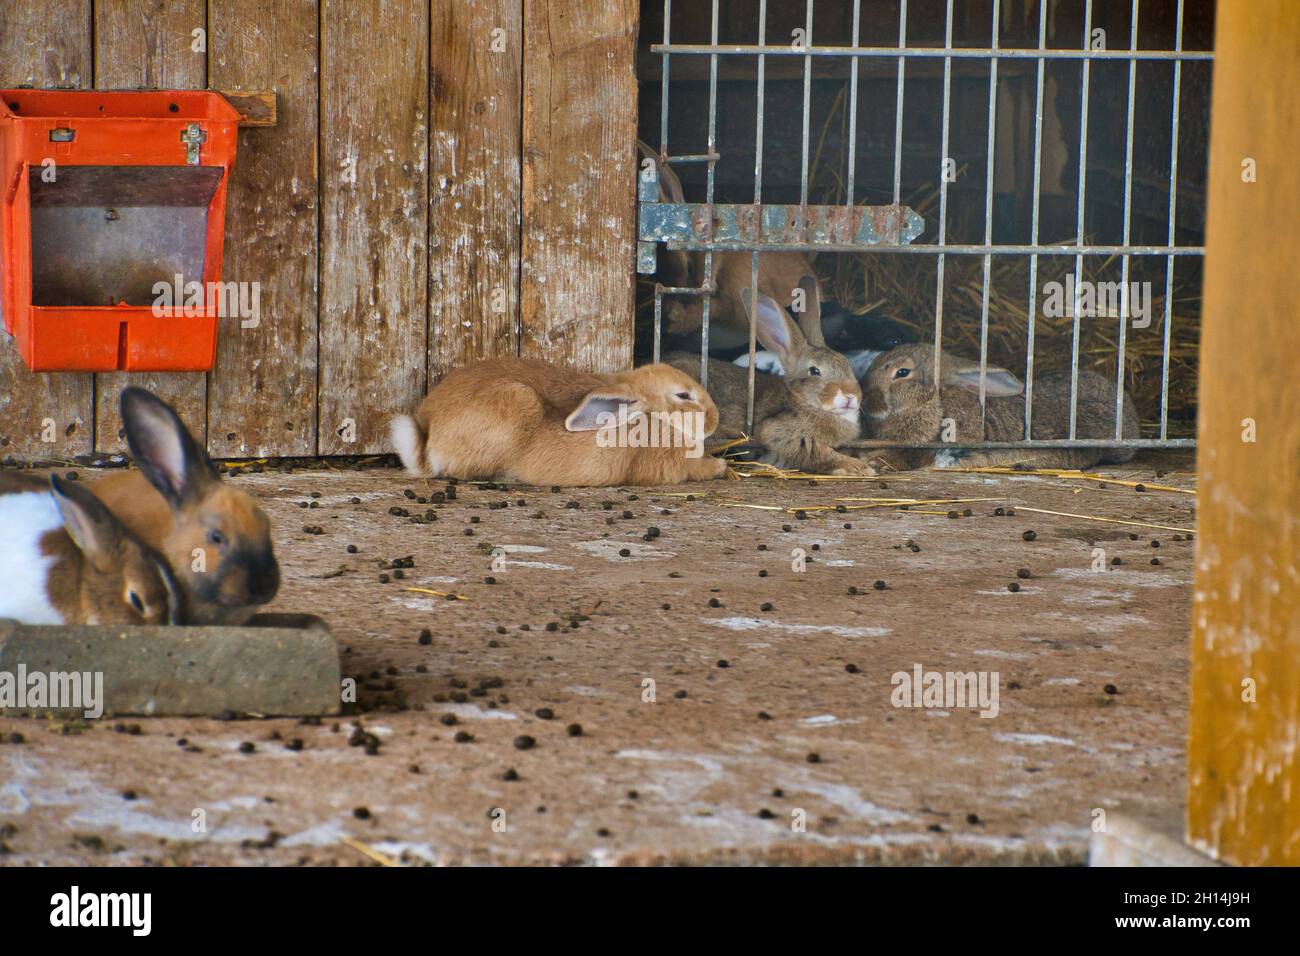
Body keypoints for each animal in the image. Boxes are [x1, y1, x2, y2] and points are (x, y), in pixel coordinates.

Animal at [666, 287, 874, 476]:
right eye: (815, 371)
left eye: (847, 364)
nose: (852, 396)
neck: (803, 402)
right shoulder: (785, 434)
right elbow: (819, 453)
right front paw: (859, 468)